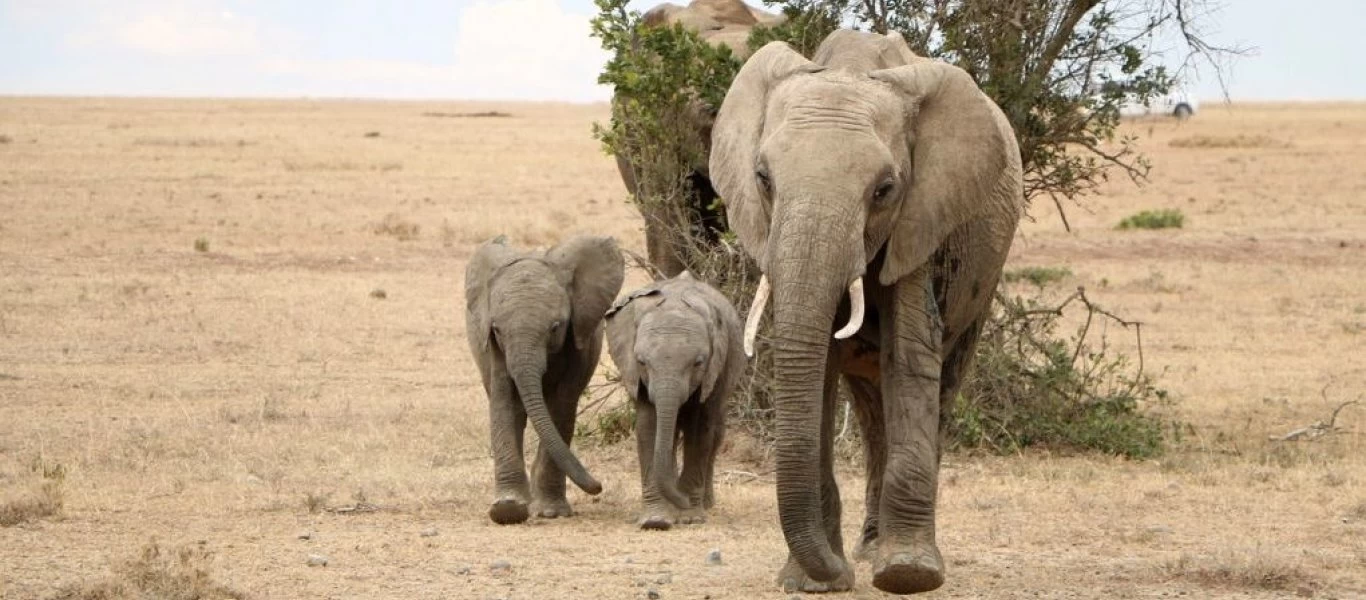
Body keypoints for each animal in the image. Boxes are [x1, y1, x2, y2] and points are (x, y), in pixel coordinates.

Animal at [464, 235, 625, 524]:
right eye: (497, 329)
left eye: (555, 328)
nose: (598, 486)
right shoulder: (494, 347)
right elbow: (504, 400)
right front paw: (507, 510)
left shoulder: (578, 339)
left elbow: (561, 405)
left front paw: (551, 512)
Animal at [603, 271, 743, 530]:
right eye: (641, 362)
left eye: (698, 362)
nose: (683, 500)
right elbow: (649, 427)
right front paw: (655, 520)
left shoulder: (714, 369)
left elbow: (699, 429)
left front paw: (689, 517)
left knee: (716, 431)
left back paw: (705, 503)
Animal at [710, 29, 1021, 595]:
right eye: (763, 179)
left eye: (884, 190)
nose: (839, 575)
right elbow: (819, 369)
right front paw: (811, 582)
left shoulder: (922, 216)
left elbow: (910, 352)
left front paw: (907, 574)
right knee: (872, 407)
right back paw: (868, 546)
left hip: (985, 277)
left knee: (941, 385)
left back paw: (886, 552)